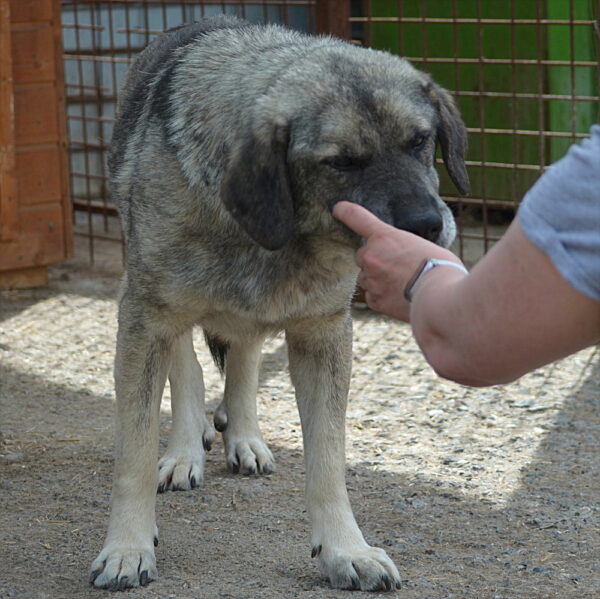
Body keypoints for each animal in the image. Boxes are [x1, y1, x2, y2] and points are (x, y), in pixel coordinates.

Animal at [89, 12, 468, 592]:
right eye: (342, 162)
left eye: (420, 140)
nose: (426, 227)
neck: (276, 234)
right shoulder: (145, 320)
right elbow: (133, 451)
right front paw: (127, 548)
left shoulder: (323, 333)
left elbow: (328, 458)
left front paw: (345, 550)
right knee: (188, 367)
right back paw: (184, 450)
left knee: (243, 357)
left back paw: (244, 437)